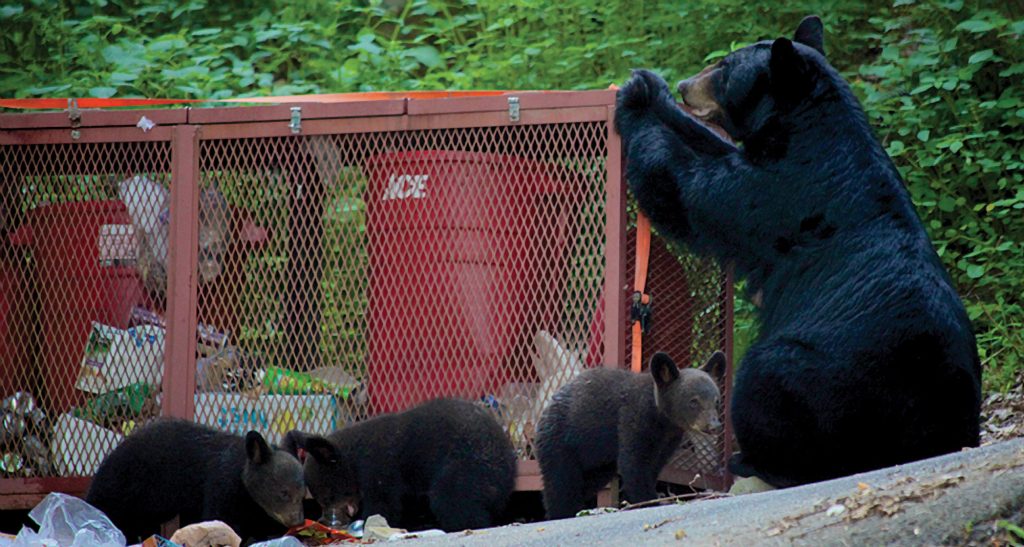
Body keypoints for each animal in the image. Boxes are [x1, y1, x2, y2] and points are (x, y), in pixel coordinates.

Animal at [86, 419, 303, 544]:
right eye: (284, 492)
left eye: (303, 494)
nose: (298, 520)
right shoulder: (221, 485)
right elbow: (220, 516)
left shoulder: (252, 507)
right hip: (124, 486)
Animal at [284, 399, 516, 536]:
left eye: (327, 497)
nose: (325, 519)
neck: (354, 461)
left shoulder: (380, 468)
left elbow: (383, 504)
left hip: (464, 466)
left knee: (452, 499)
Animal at [532, 354, 724, 520]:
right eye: (693, 401)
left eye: (716, 401)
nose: (713, 426)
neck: (661, 420)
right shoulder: (633, 420)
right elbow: (634, 464)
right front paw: (649, 501)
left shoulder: (667, 441)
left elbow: (653, 466)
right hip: (561, 443)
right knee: (561, 483)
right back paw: (560, 513)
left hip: (599, 462)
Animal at [610, 14, 978, 489]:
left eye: (725, 66)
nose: (687, 83)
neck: (809, 129)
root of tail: (943, 429)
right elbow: (711, 146)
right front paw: (654, 88)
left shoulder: (784, 191)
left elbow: (689, 189)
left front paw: (638, 99)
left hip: (823, 382)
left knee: (766, 384)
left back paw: (750, 459)